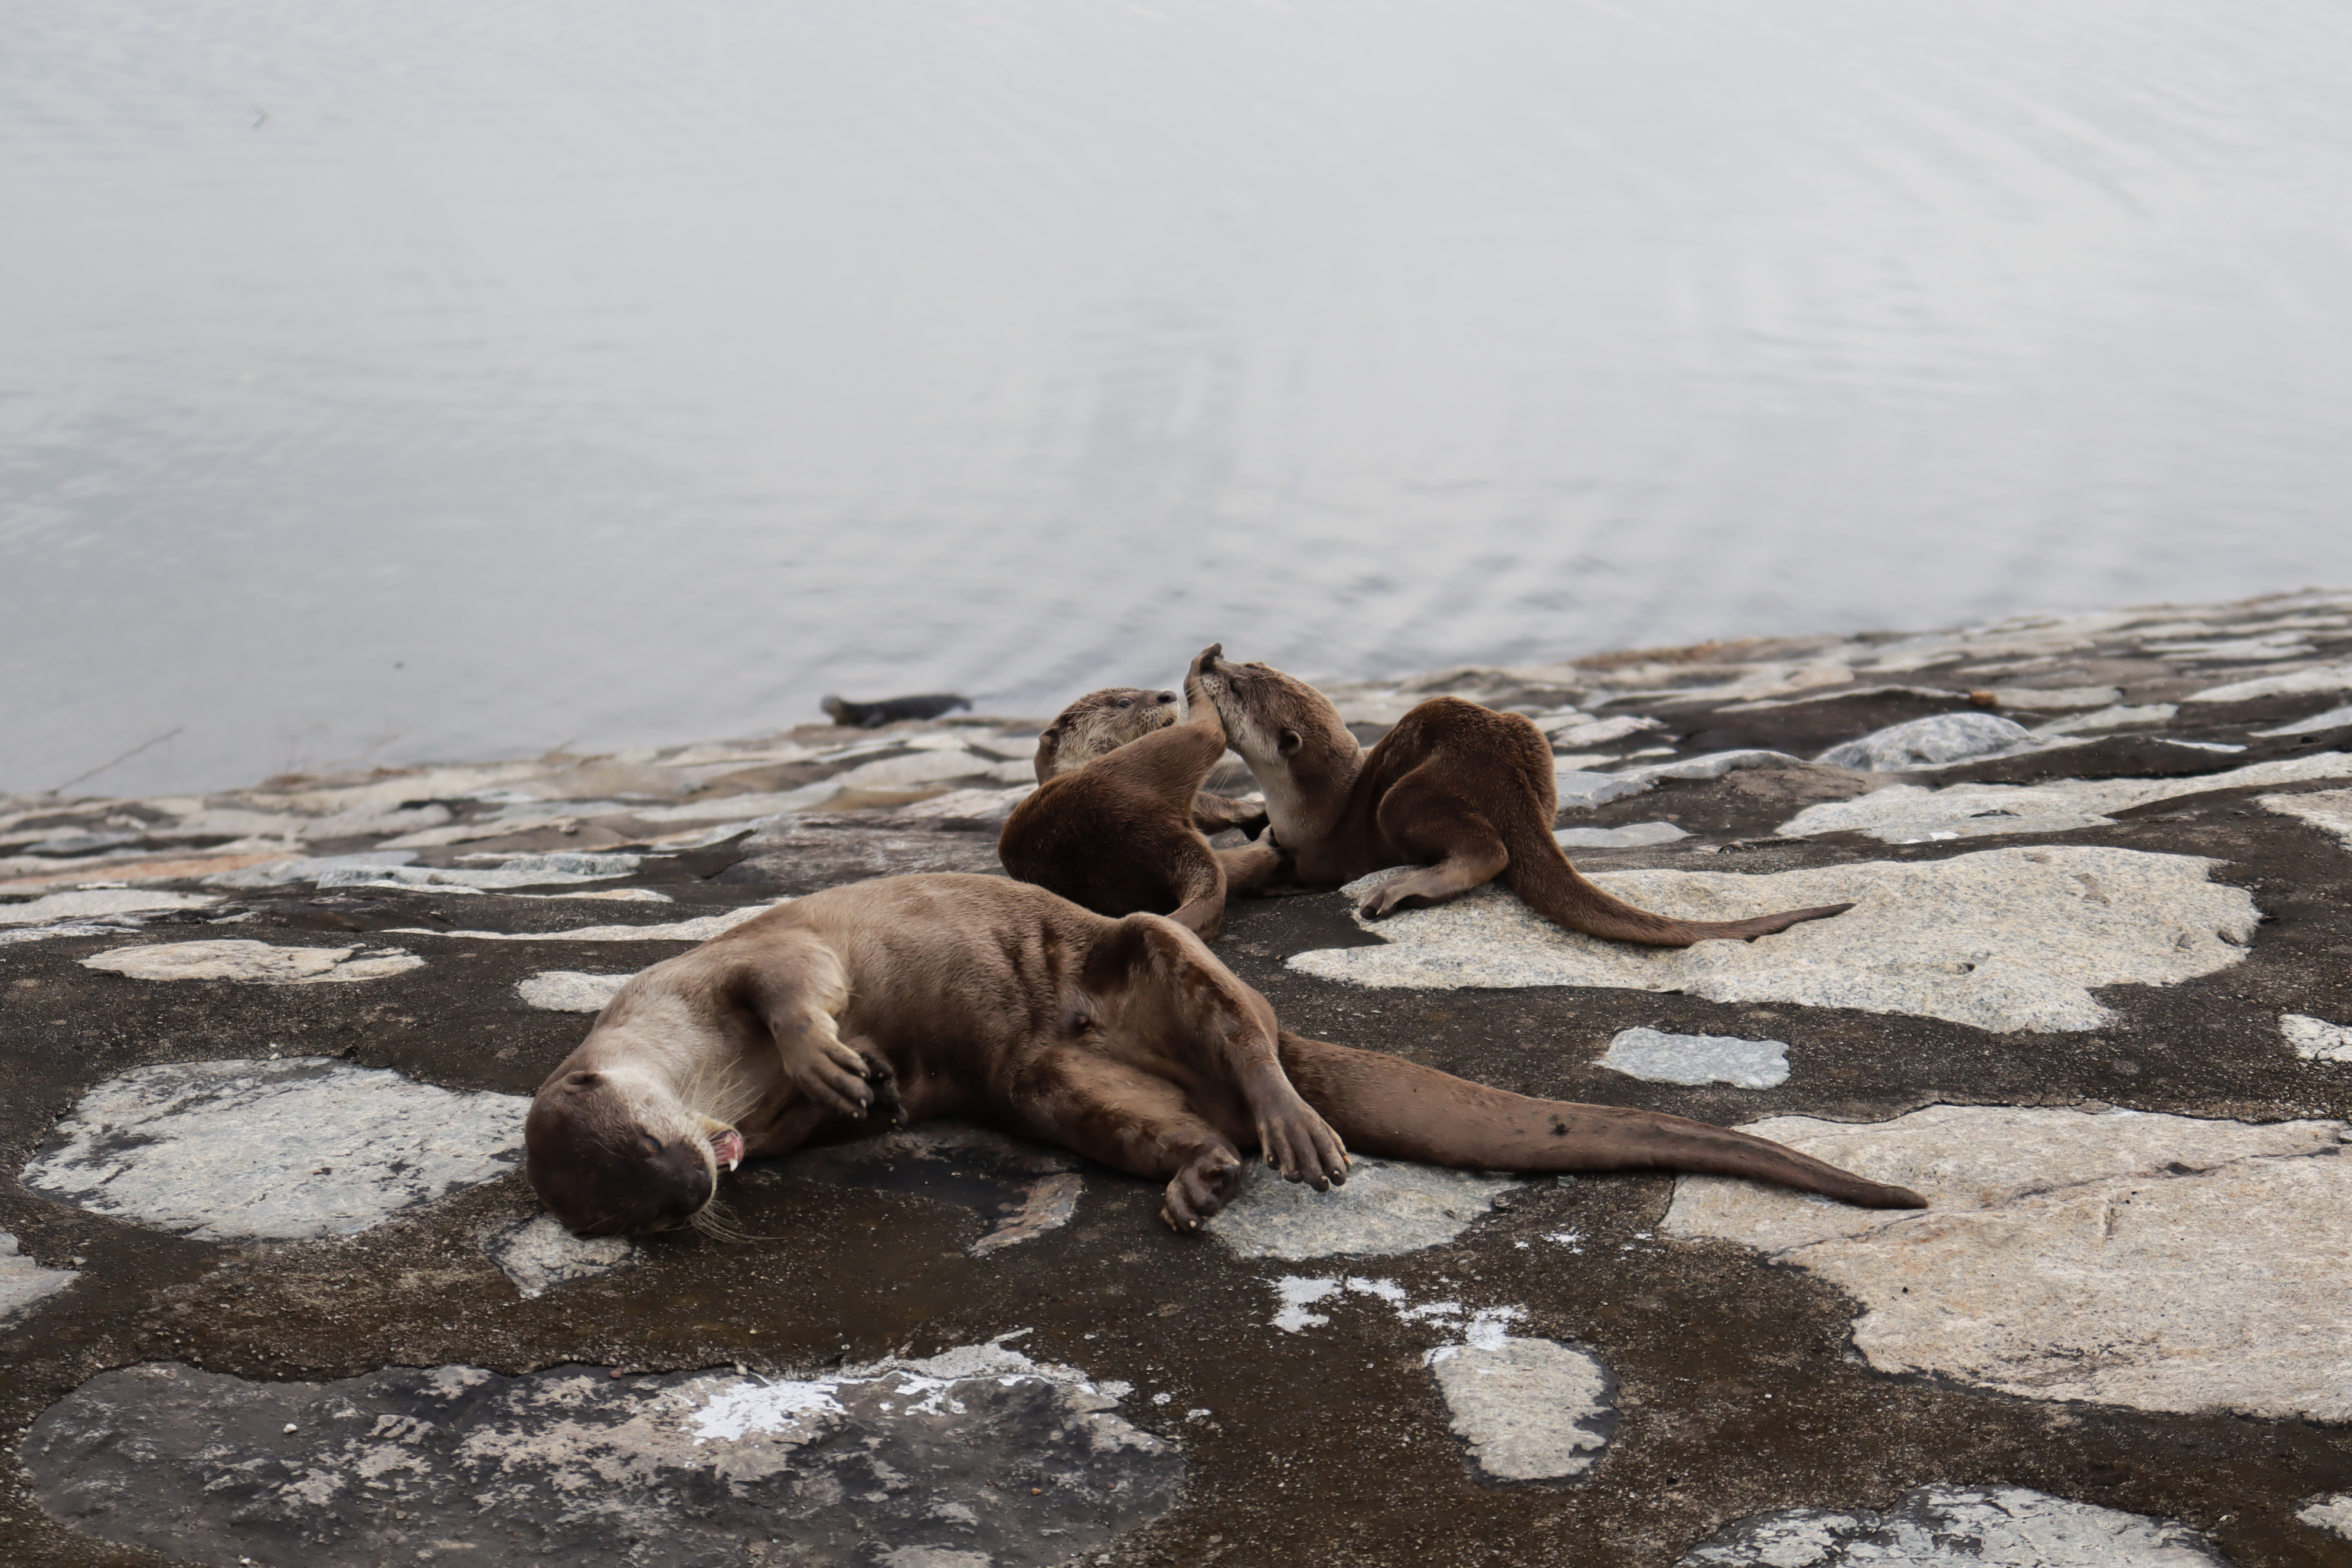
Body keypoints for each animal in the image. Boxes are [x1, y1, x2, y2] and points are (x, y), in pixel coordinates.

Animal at [529, 870, 1928, 1241]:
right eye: (637, 1210)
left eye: (645, 1141)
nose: (693, 1183)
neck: (714, 1080)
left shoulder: (720, 968)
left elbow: (794, 986)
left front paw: (830, 1059)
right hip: (1053, 1081)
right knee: (1161, 1123)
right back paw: (1201, 1175)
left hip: (1147, 947)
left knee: (1240, 1023)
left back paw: (1293, 1122)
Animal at [1194, 649, 1853, 945]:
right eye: (1246, 663)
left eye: (1236, 688)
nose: (1210, 658)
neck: (1307, 808)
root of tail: (1505, 781)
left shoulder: (1324, 849)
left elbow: (1297, 869)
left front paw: (1275, 878)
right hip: (1529, 738)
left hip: (1406, 796)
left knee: (1490, 854)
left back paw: (1403, 890)